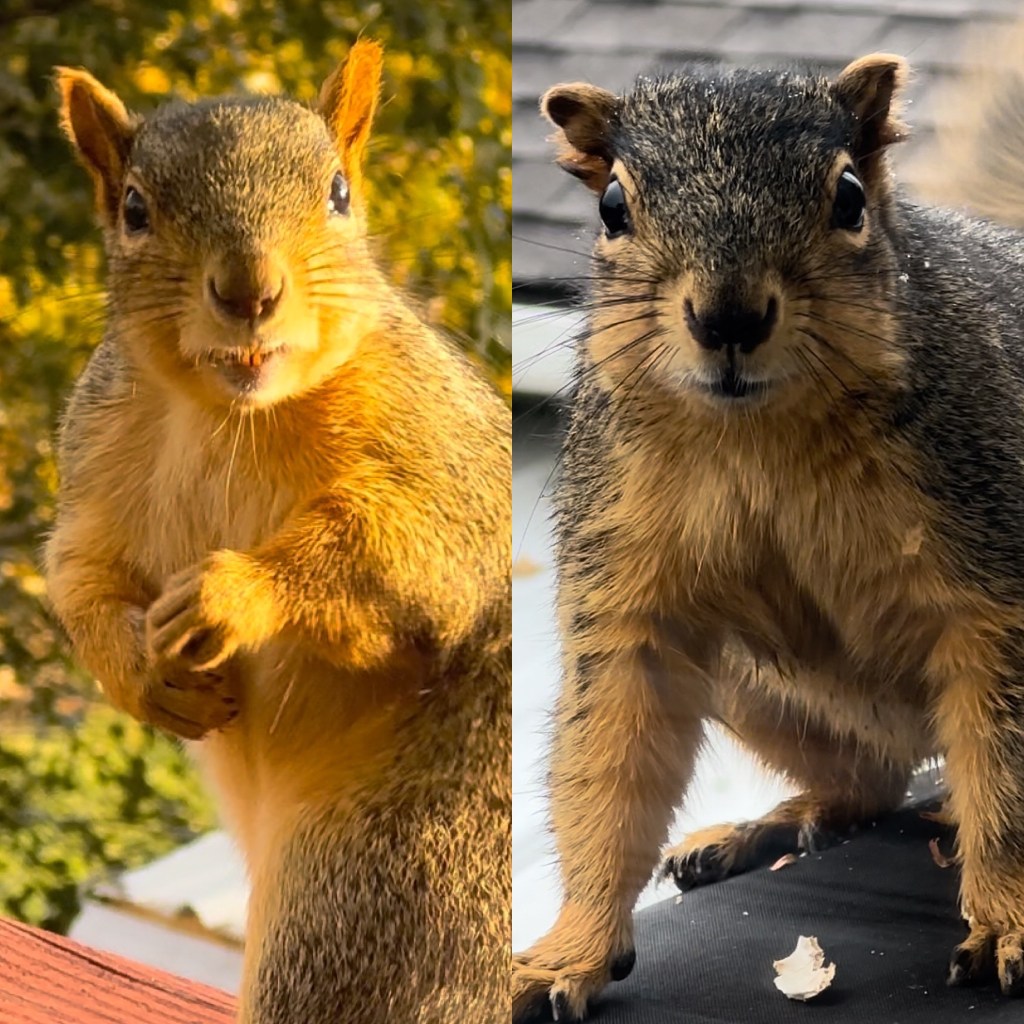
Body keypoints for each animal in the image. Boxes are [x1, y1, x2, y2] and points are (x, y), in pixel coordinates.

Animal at [43, 41, 510, 1023]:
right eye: (135, 209)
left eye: (338, 192)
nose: (248, 290)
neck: (233, 416)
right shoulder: (96, 461)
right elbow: (82, 578)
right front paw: (141, 670)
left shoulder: (446, 457)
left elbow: (411, 545)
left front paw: (234, 592)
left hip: (386, 884)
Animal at [512, 46, 1024, 1022]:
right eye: (611, 207)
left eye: (850, 196)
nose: (729, 318)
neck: (759, 436)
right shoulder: (627, 586)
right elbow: (608, 765)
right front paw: (567, 953)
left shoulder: (994, 575)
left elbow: (1008, 771)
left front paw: (1010, 922)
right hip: (755, 685)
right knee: (870, 783)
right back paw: (763, 827)